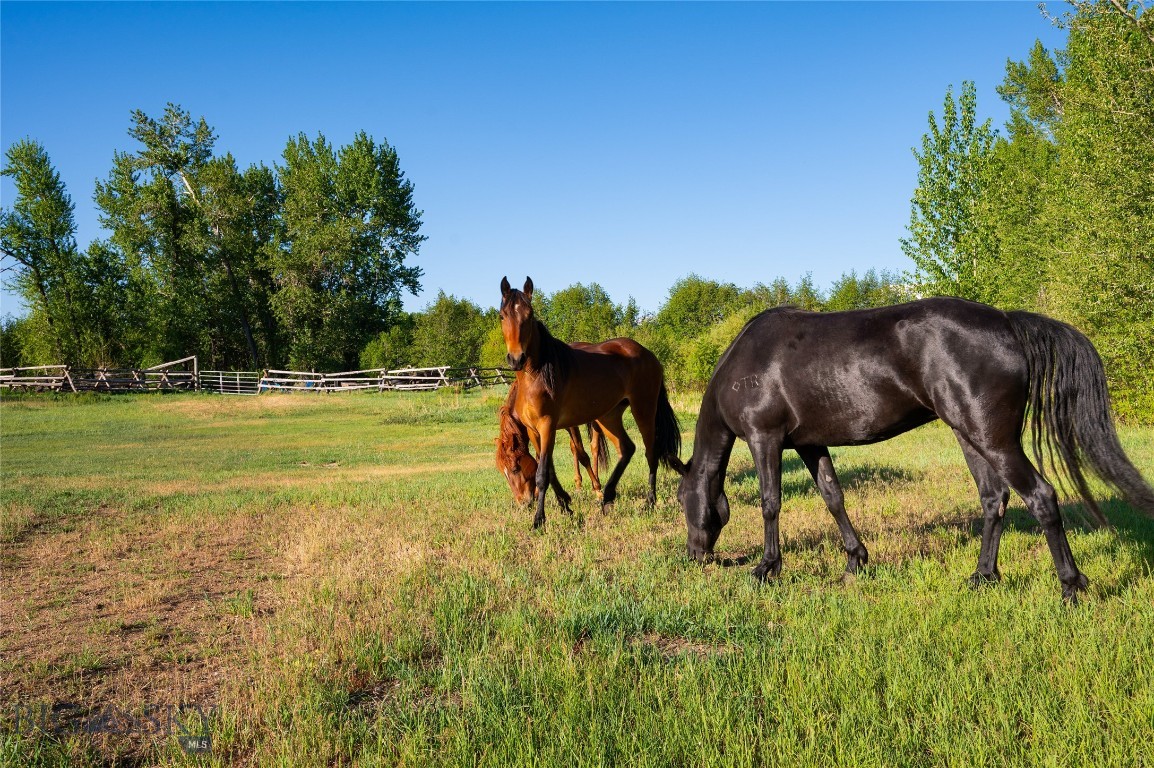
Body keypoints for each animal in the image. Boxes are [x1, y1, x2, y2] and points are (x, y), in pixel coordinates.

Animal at [499, 276, 684, 528]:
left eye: (529, 314)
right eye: (502, 315)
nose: (516, 358)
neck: (536, 376)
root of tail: (647, 353)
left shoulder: (548, 425)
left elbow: (543, 472)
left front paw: (539, 520)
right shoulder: (533, 430)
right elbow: (549, 468)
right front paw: (565, 505)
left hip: (643, 409)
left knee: (650, 452)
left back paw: (649, 501)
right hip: (609, 416)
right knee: (627, 448)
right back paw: (607, 497)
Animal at [677, 297, 1154, 603]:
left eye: (682, 500)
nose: (695, 555)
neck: (748, 362)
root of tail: (1006, 322)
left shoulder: (766, 439)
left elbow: (770, 502)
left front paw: (767, 568)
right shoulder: (811, 444)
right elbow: (833, 497)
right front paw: (855, 561)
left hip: (994, 440)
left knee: (1040, 497)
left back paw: (1071, 586)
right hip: (970, 435)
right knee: (993, 499)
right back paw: (983, 576)